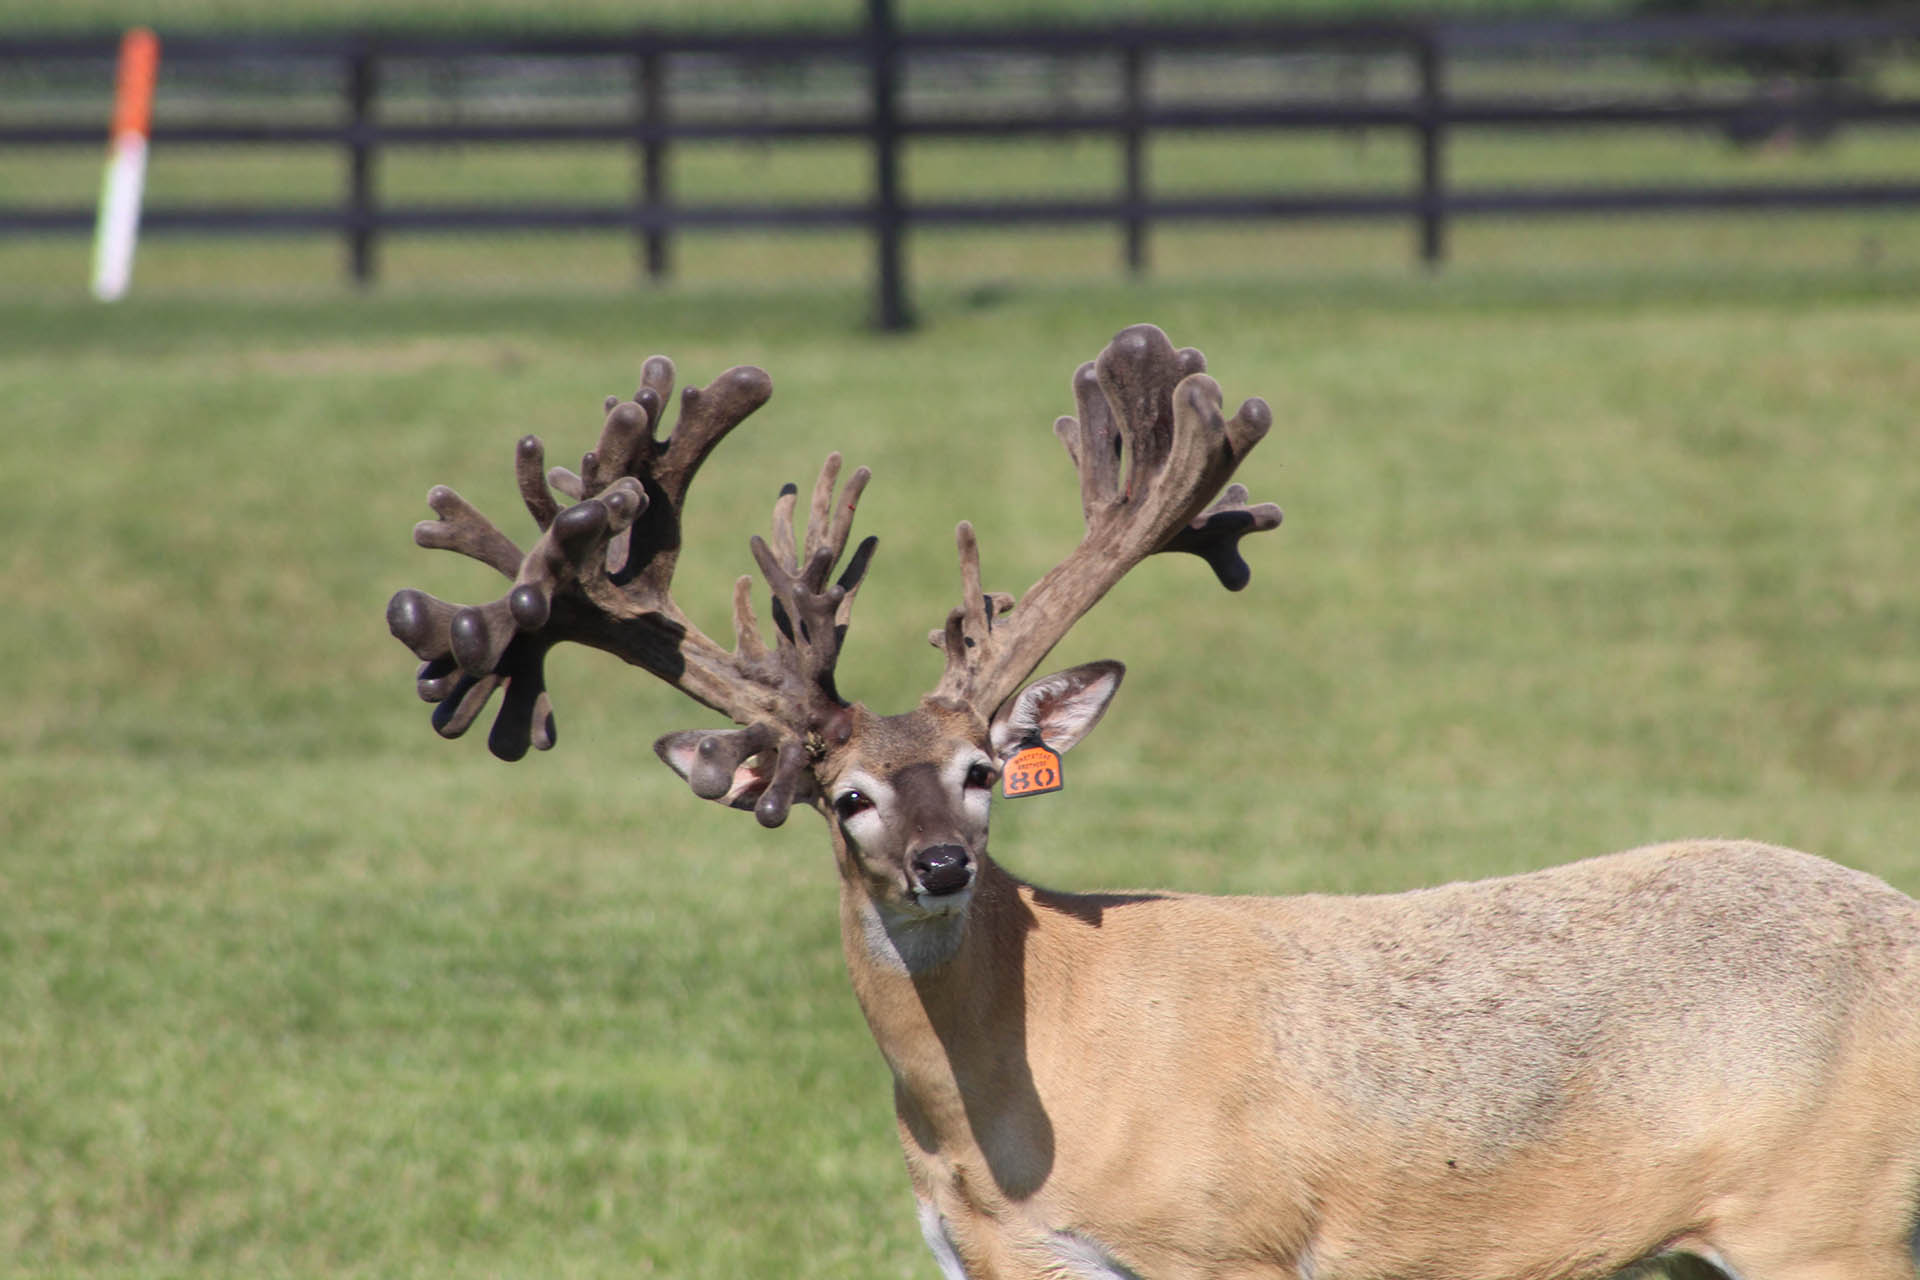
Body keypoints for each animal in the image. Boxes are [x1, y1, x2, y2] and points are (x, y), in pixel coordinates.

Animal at [385, 326, 1920, 1274]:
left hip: (1827, 1217)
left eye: (983, 772)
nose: (941, 866)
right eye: (844, 795)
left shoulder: (1232, 1235)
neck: (1011, 1116)